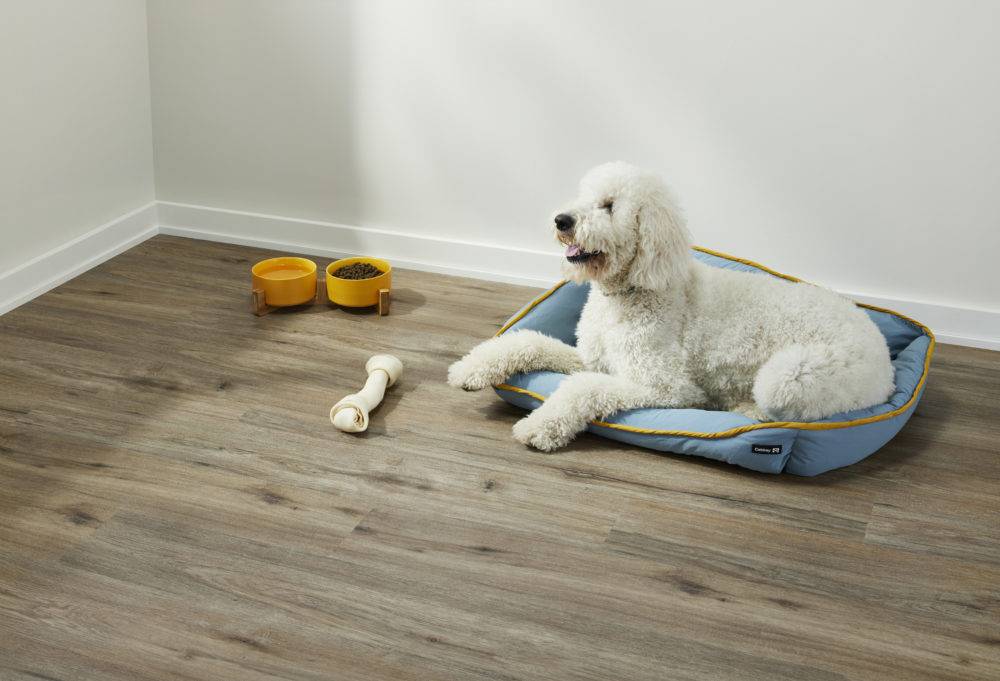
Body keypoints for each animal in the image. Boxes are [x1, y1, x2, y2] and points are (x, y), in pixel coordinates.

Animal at [446, 163, 892, 452]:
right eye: (583, 197)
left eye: (609, 205)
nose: (562, 220)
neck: (629, 293)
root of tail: (884, 356)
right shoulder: (593, 358)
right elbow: (529, 341)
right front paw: (470, 368)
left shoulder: (665, 386)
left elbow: (584, 388)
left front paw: (540, 426)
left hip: (791, 375)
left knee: (795, 409)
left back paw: (747, 410)